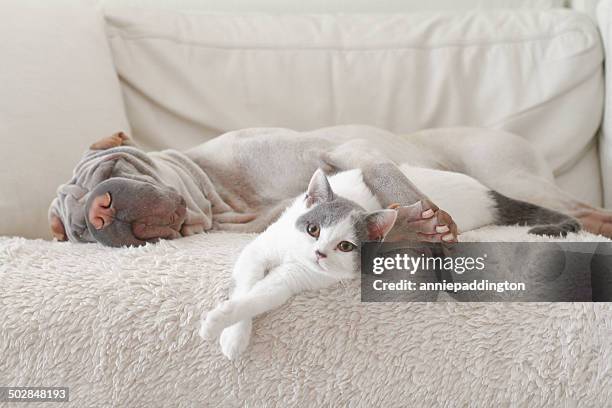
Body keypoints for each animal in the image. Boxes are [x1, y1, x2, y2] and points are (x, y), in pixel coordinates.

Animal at [200, 164, 580, 358]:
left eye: (345, 246)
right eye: (312, 228)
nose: (319, 252)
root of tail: (483, 190)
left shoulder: (302, 276)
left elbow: (264, 294)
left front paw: (226, 331)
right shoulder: (260, 250)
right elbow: (247, 280)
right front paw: (231, 334)